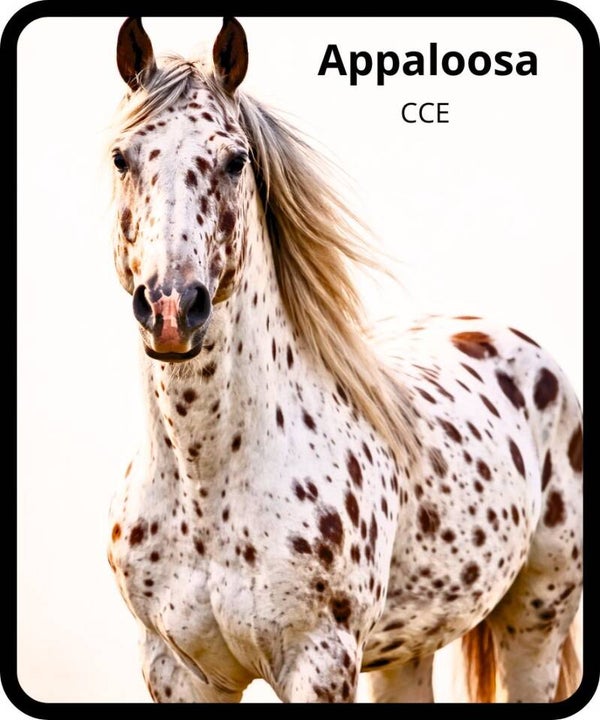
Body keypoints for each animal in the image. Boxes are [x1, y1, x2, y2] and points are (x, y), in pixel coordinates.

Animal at [106, 16, 583, 703]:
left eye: (235, 159)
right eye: (122, 156)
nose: (172, 307)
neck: (208, 484)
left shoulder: (320, 661)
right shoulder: (177, 670)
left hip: (535, 626)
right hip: (406, 651)